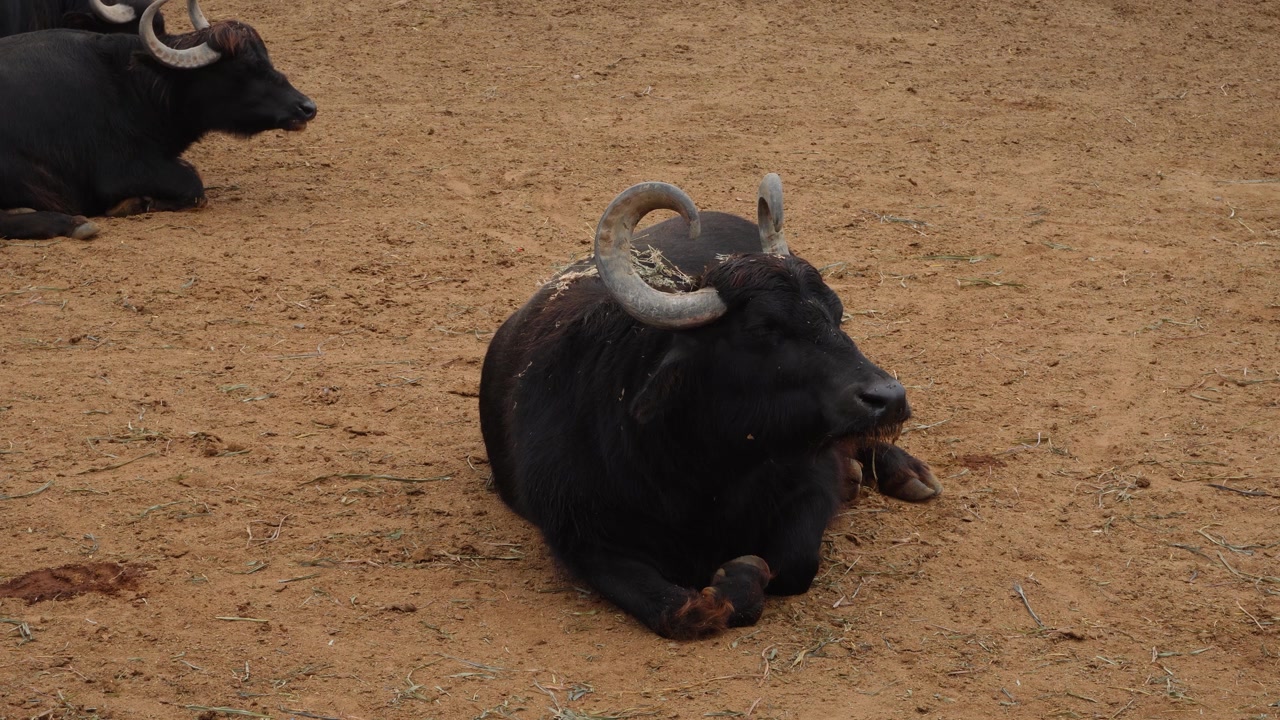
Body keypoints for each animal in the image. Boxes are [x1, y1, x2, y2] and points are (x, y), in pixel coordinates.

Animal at [0, 0, 316, 241]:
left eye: (266, 57)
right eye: (242, 69)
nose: (307, 107)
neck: (130, 84)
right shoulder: (121, 171)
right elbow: (194, 184)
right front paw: (134, 203)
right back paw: (73, 223)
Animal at [479, 175, 941, 639]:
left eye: (836, 314)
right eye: (763, 328)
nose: (890, 398)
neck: (704, 475)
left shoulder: (809, 487)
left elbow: (796, 566)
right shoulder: (579, 537)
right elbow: (686, 611)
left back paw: (905, 473)